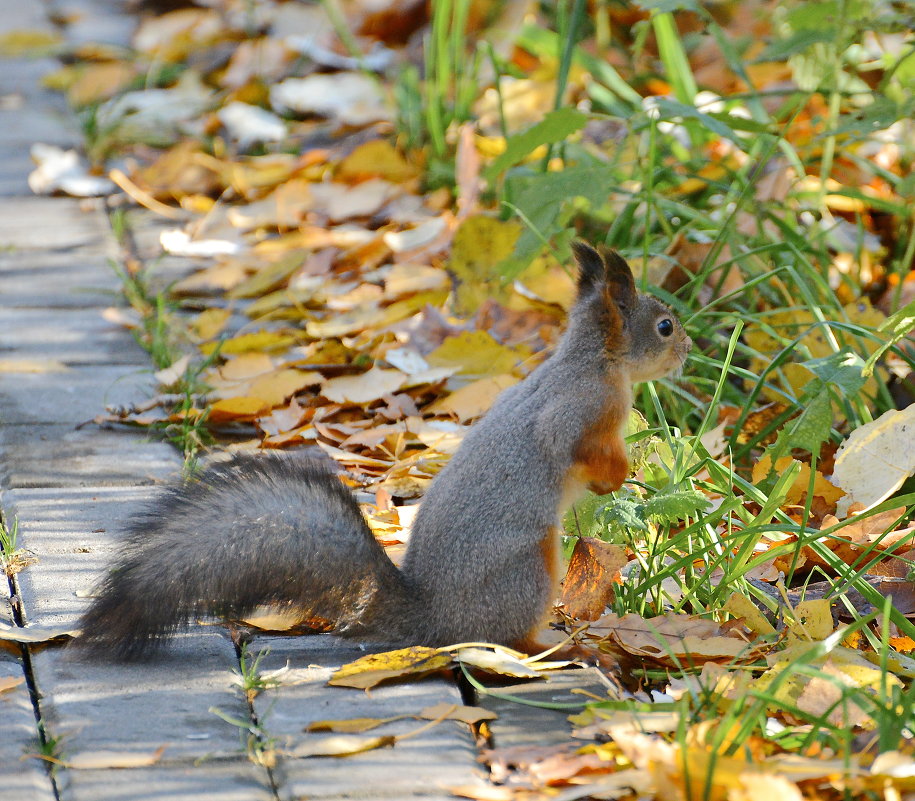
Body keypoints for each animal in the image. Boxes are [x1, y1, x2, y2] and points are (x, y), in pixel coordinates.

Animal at [78, 242, 692, 656]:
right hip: (527, 570)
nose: (688, 350)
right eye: (664, 326)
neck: (593, 361)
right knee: (505, 638)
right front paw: (618, 478)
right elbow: (579, 450)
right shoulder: (578, 414)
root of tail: (435, 620)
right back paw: (556, 648)